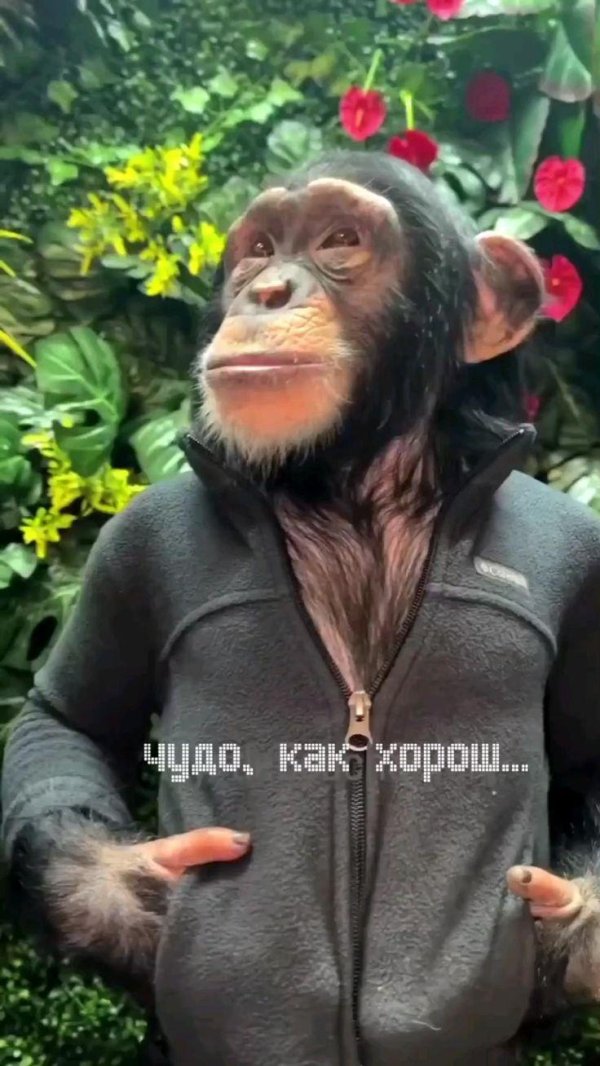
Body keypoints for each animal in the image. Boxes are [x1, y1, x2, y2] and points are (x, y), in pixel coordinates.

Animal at [3, 150, 600, 1066]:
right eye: (256, 247)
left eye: (340, 240)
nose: (269, 290)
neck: (352, 487)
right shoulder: (126, 548)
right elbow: (64, 714)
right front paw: (126, 896)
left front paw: (581, 936)